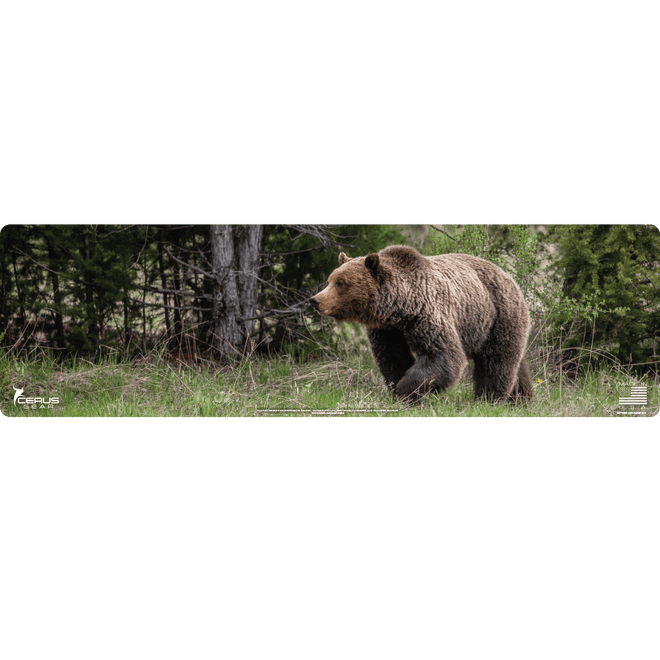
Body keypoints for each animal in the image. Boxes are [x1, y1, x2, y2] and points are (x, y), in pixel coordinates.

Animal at [310, 245, 533, 404]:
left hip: (497, 315)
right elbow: (392, 357)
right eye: (329, 280)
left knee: (496, 361)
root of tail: (508, 275)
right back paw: (521, 398)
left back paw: (489, 398)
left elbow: (442, 355)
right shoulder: (387, 331)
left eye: (341, 283)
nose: (315, 300)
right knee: (517, 363)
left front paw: (405, 391)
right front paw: (398, 389)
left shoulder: (427, 314)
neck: (398, 309)